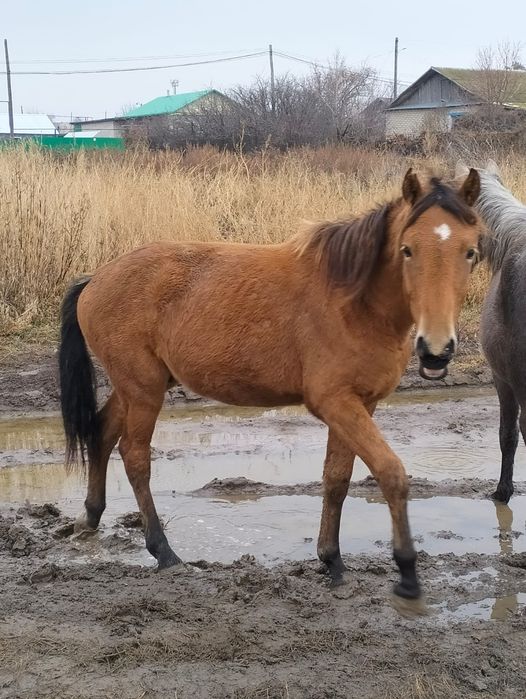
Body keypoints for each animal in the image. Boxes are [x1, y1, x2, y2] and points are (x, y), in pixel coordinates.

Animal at [59, 167, 482, 610]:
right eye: (407, 249)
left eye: (471, 251)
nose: (436, 350)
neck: (354, 302)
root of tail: (96, 279)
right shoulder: (337, 403)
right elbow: (391, 473)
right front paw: (407, 574)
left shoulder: (359, 404)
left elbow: (337, 478)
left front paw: (332, 561)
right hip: (143, 389)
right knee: (135, 457)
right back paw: (164, 552)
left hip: (136, 386)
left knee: (101, 433)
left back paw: (91, 517)